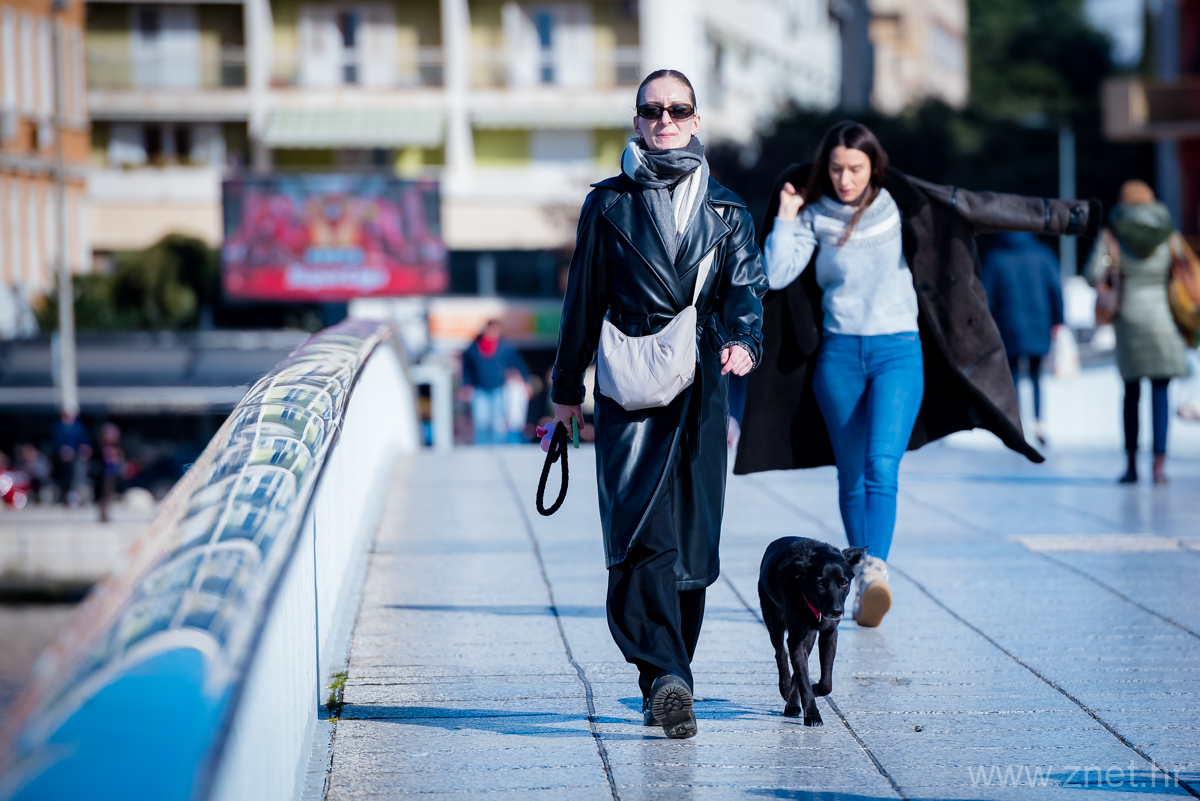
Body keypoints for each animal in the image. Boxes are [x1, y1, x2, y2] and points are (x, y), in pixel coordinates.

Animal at [758, 537, 865, 726]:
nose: (837, 611)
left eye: (844, 583)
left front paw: (815, 689)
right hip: (774, 621)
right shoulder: (795, 638)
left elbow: (825, 682)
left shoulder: (829, 634)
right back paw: (785, 687)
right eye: (820, 584)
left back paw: (792, 703)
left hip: (809, 637)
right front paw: (813, 714)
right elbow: (803, 679)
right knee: (781, 653)